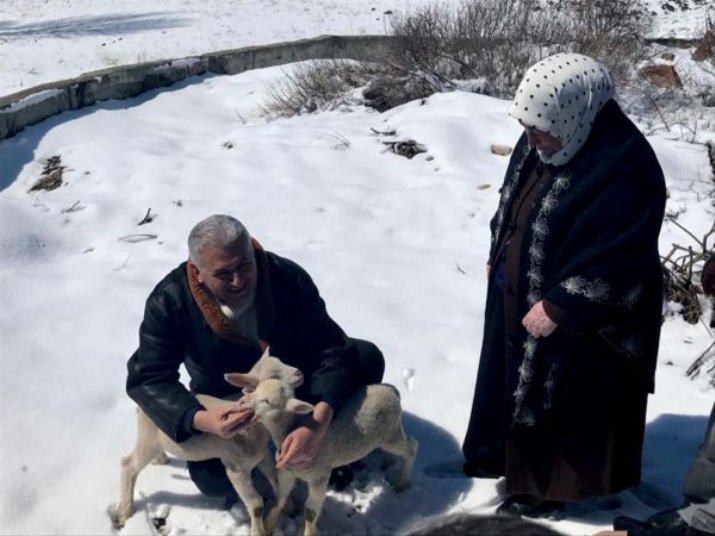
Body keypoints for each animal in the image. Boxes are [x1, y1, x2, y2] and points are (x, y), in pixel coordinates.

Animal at [113, 348, 304, 536]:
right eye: (273, 376)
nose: (299, 372)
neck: (257, 429)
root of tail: (140, 407)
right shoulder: (236, 468)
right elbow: (256, 504)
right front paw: (258, 531)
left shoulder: (261, 455)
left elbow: (275, 481)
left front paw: (288, 508)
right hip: (148, 437)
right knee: (128, 465)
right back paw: (125, 512)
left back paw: (161, 459)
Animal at [238, 376, 416, 536]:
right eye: (255, 389)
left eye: (267, 401)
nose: (242, 402)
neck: (291, 428)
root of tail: (391, 390)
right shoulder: (286, 471)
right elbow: (280, 497)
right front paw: (268, 524)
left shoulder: (319, 475)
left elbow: (310, 512)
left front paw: (308, 533)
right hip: (388, 433)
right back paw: (388, 463)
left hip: (390, 433)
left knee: (411, 448)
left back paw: (401, 483)